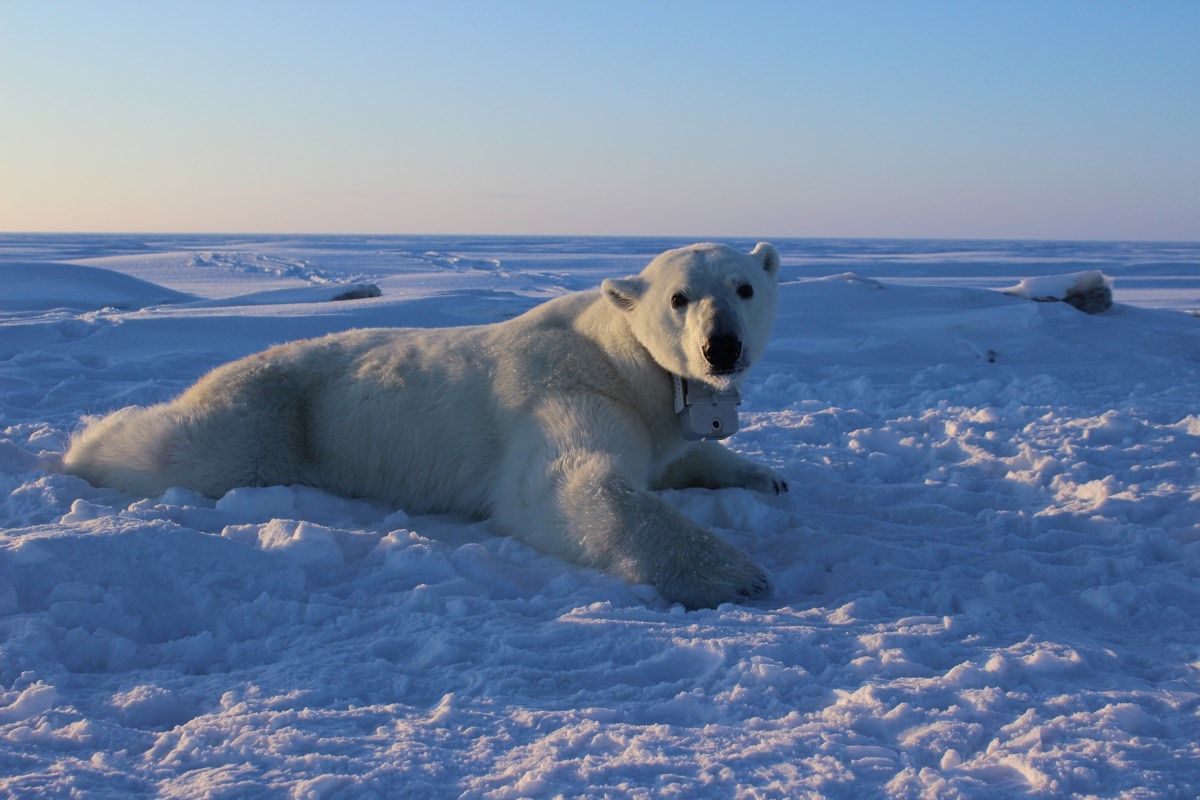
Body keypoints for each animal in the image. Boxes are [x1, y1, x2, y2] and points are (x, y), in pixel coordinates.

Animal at [64, 242, 787, 609]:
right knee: (186, 450)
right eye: (679, 297)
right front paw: (736, 573)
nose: (721, 347)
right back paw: (82, 442)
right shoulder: (567, 391)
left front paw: (766, 478)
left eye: (744, 287)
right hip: (273, 415)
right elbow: (563, 486)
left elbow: (680, 455)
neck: (619, 357)